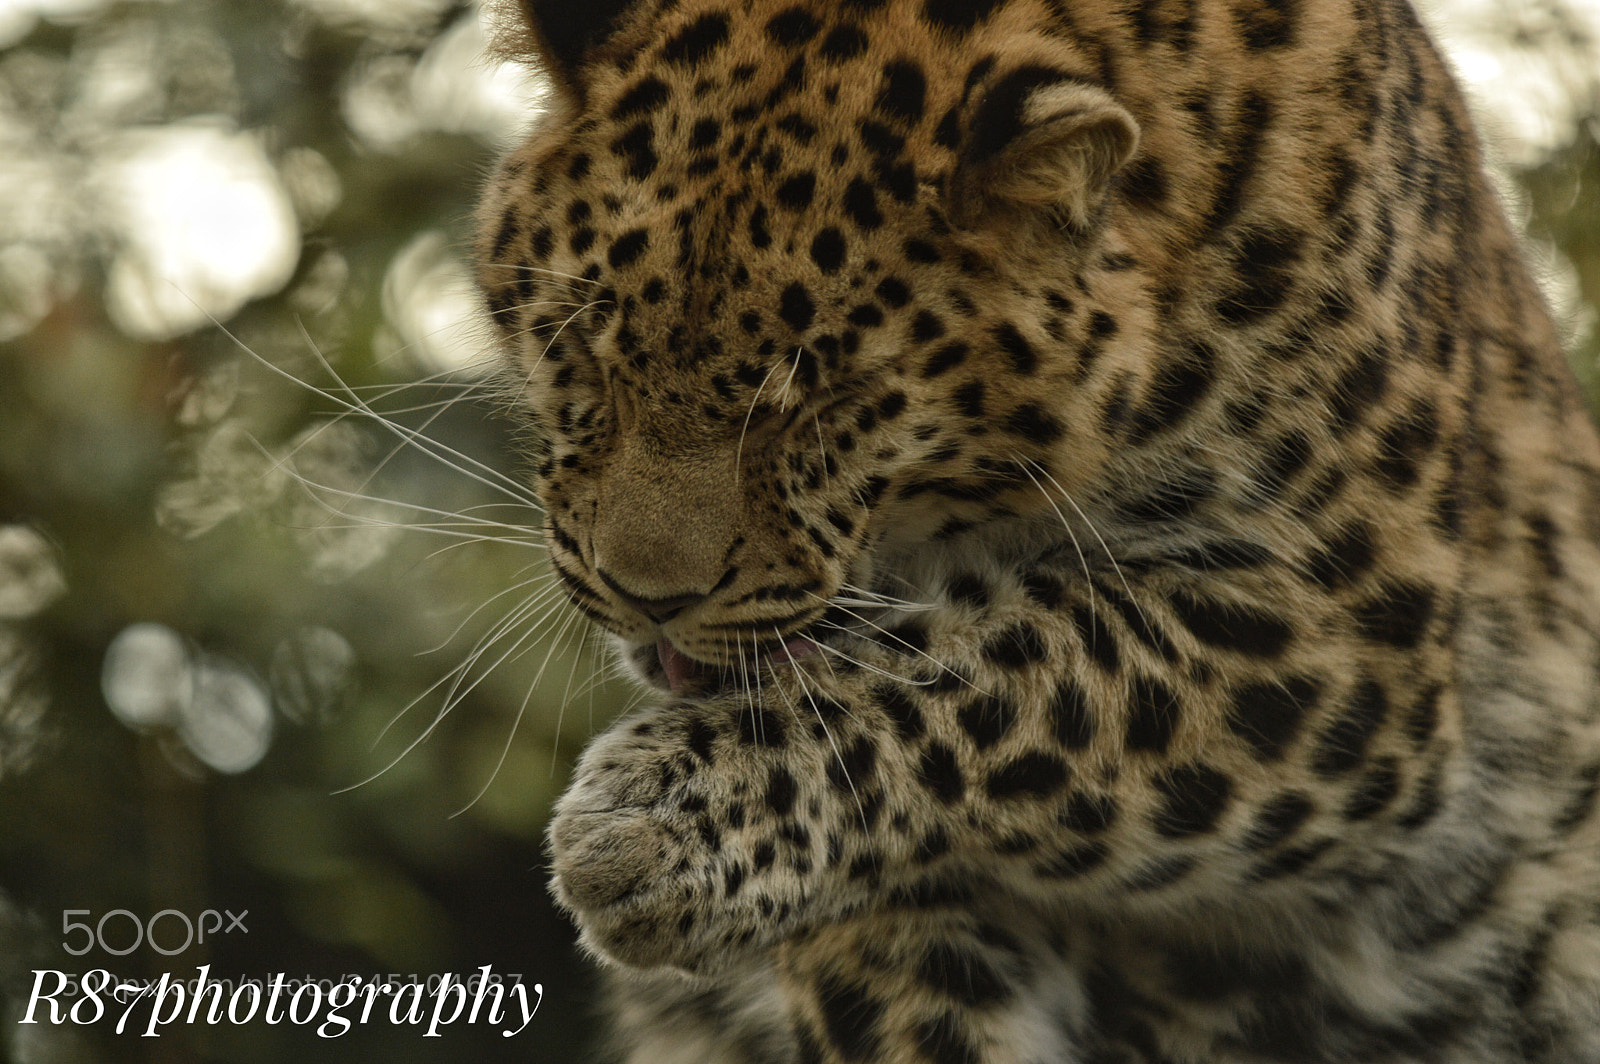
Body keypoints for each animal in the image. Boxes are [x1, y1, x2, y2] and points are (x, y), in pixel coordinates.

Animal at [472, 0, 1600, 1059]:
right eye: (579, 345)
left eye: (830, 403)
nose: (646, 594)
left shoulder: (1346, 636)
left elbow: (1012, 667)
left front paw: (656, 819)